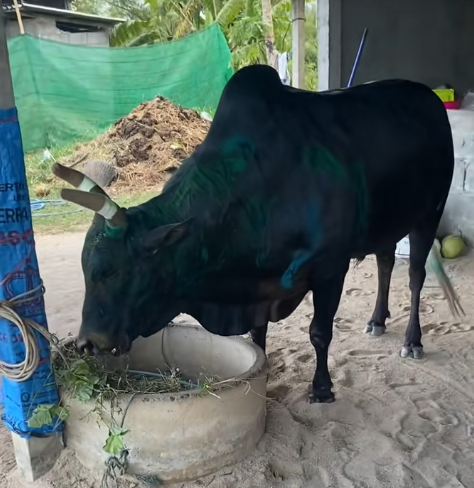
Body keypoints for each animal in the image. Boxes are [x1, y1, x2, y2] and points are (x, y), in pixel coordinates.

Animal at [53, 64, 462, 404]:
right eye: (86, 269)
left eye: (110, 272)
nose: (86, 343)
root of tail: (428, 97)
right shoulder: (258, 283)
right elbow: (257, 334)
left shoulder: (330, 267)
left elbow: (319, 332)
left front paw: (322, 389)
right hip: (389, 222)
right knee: (386, 262)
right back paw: (377, 321)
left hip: (429, 213)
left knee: (415, 275)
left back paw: (412, 340)